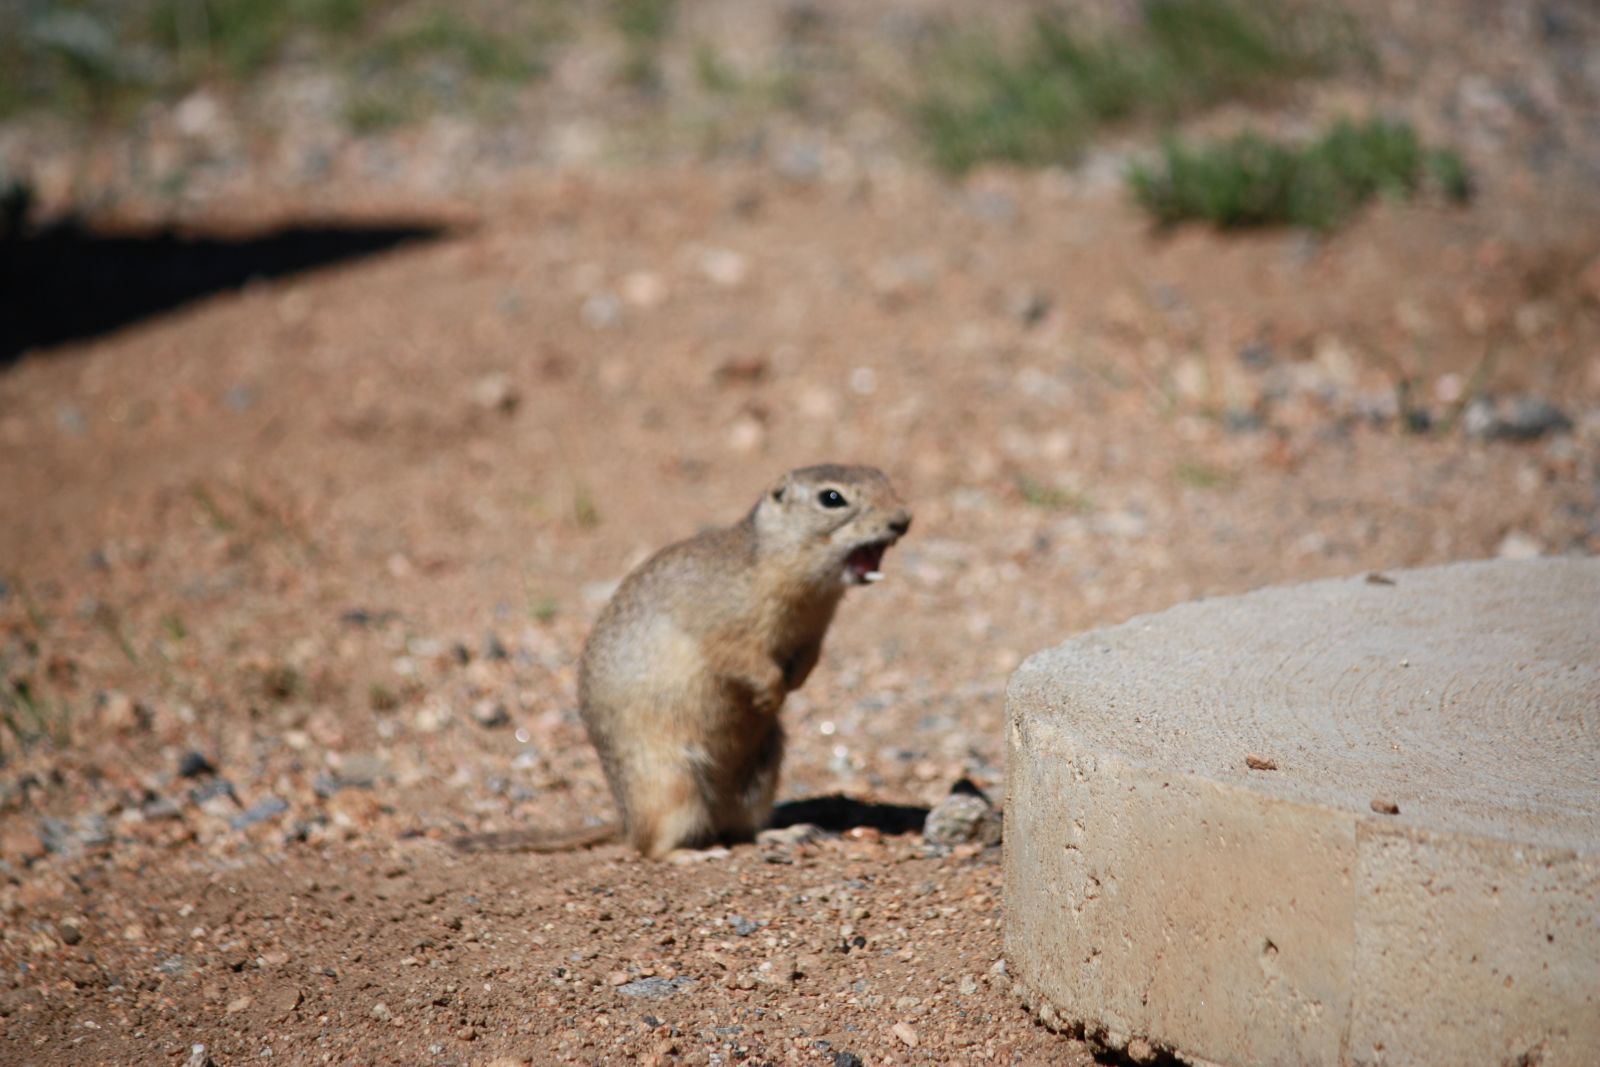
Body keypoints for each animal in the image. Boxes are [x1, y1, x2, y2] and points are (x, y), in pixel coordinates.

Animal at [460, 463, 915, 857]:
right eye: (832, 497)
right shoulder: (725, 631)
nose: (904, 520)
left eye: (883, 477)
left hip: (763, 773)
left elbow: (808, 660)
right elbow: (743, 660)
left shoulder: (814, 634)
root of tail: (624, 819)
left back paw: (788, 833)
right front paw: (771, 694)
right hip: (672, 785)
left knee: (741, 830)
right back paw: (694, 855)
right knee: (650, 848)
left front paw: (793, 685)